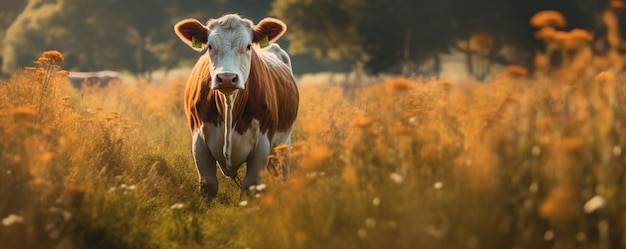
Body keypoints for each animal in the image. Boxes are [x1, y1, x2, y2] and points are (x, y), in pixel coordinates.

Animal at [171, 14, 298, 198]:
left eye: (248, 46)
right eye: (210, 46)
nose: (226, 78)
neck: (229, 106)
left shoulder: (263, 144)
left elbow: (251, 186)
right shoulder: (198, 141)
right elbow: (208, 185)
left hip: (283, 145)